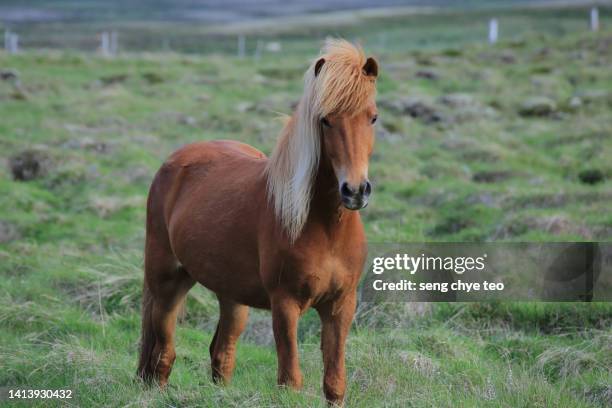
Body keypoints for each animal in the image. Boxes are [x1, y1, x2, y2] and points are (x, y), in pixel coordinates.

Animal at [137, 39, 378, 404]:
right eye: (325, 120)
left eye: (373, 118)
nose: (355, 191)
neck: (325, 228)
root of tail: (175, 161)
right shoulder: (285, 305)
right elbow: (290, 379)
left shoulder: (340, 306)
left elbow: (334, 383)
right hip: (167, 282)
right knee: (163, 353)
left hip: (231, 296)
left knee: (221, 355)